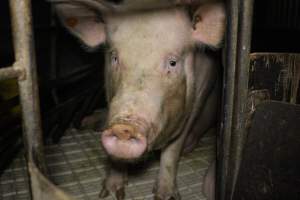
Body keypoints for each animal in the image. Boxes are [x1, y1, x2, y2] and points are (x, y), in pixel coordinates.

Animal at [52, 0, 225, 199]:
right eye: (115, 57)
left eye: (173, 62)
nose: (124, 127)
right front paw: (110, 192)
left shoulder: (196, 100)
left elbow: (173, 150)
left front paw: (165, 195)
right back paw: (86, 122)